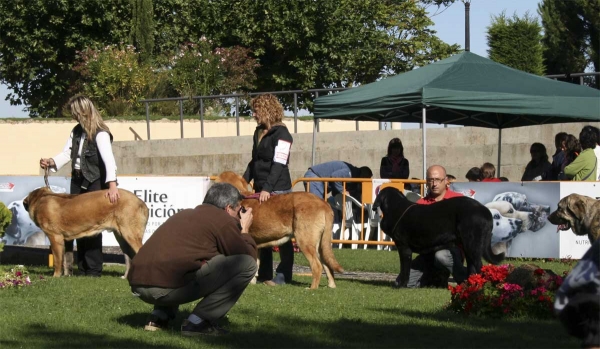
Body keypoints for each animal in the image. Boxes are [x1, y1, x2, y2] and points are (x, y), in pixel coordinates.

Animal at [214, 171, 342, 288]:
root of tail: (324, 203)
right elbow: (255, 265)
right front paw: (252, 282)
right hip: (320, 244)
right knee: (327, 265)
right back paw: (331, 286)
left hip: (304, 241)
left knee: (317, 266)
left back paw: (311, 288)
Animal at [372, 188, 504, 286]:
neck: (397, 208)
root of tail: (485, 211)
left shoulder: (404, 248)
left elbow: (404, 270)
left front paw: (401, 285)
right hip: (469, 248)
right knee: (472, 268)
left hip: (472, 246)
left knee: (479, 266)